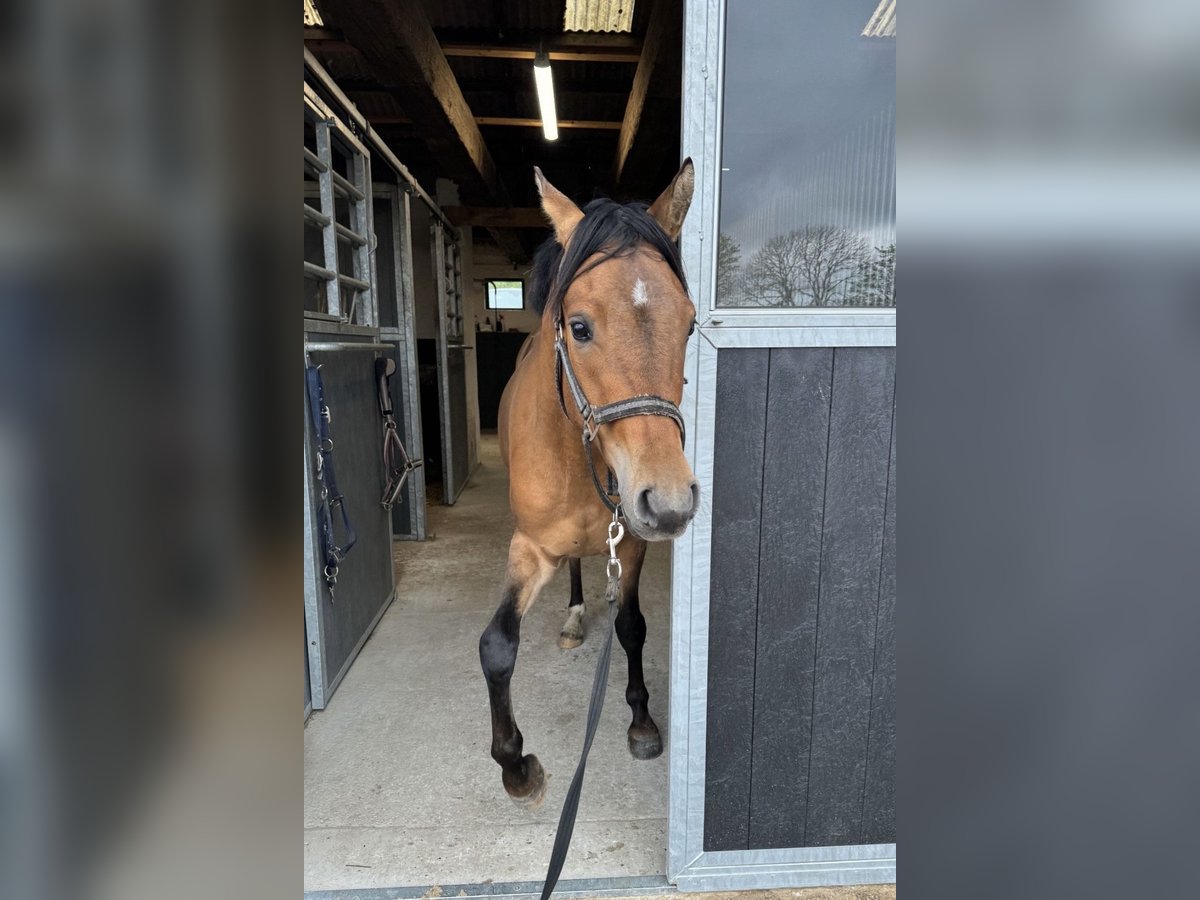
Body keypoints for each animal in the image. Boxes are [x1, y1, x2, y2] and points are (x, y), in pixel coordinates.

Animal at [477, 162, 700, 811]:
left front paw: (642, 723)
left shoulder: (633, 542)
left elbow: (632, 626)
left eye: (690, 324)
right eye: (578, 327)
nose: (670, 502)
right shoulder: (529, 547)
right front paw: (515, 767)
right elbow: (497, 645)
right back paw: (576, 615)